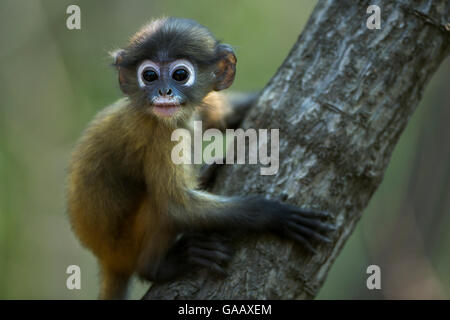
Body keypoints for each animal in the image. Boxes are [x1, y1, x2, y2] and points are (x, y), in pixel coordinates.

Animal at [66, 16, 334, 300]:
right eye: (149, 76)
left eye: (180, 75)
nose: (163, 91)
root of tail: (110, 259)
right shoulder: (159, 136)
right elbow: (176, 207)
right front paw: (274, 214)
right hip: (129, 243)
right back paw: (161, 265)